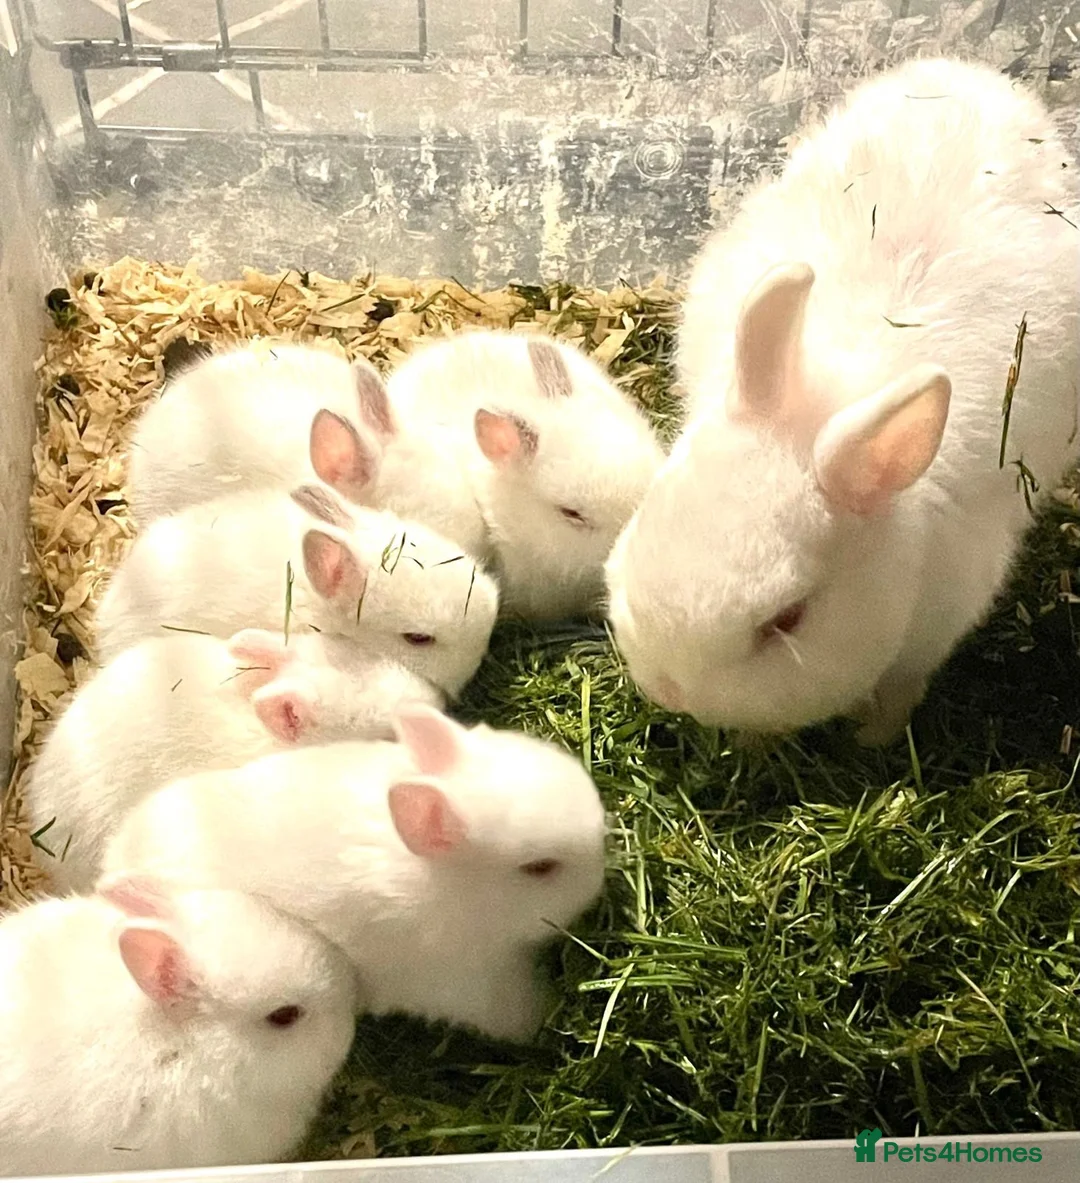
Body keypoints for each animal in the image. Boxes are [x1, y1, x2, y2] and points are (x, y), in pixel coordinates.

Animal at [605, 58, 1080, 744]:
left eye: (787, 619)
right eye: (644, 514)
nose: (670, 689)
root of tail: (970, 72)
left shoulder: (933, 632)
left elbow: (898, 694)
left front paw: (872, 743)